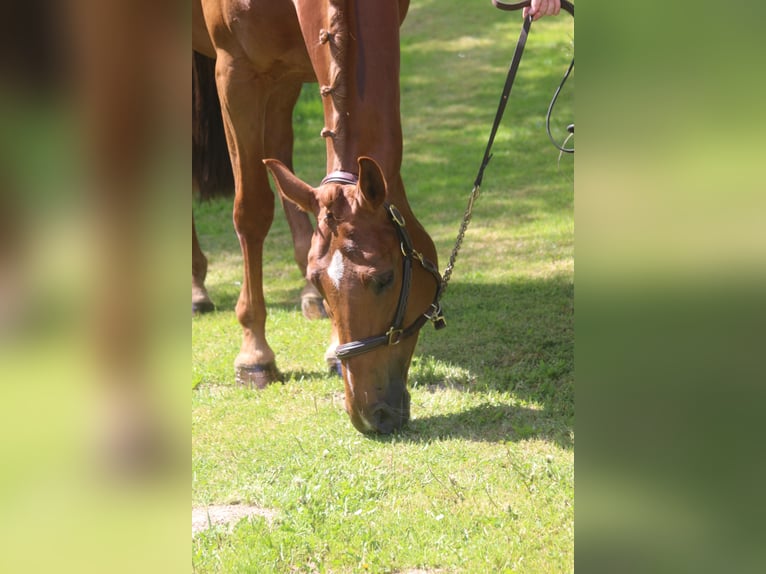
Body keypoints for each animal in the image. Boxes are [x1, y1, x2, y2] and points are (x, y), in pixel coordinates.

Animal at [195, 0, 440, 432]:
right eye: (322, 279)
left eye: (385, 279)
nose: (368, 414)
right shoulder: (234, 71)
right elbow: (252, 210)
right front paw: (255, 356)